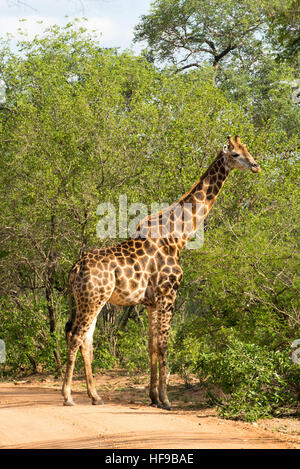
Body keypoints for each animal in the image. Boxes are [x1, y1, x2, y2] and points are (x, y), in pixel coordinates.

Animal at [61, 134, 260, 406]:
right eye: (235, 154)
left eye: (247, 149)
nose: (256, 166)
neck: (178, 237)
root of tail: (75, 268)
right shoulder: (168, 294)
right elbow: (164, 344)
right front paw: (166, 400)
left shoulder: (151, 302)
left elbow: (152, 345)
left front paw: (154, 397)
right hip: (92, 299)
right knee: (75, 336)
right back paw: (68, 396)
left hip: (91, 301)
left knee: (86, 339)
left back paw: (95, 396)